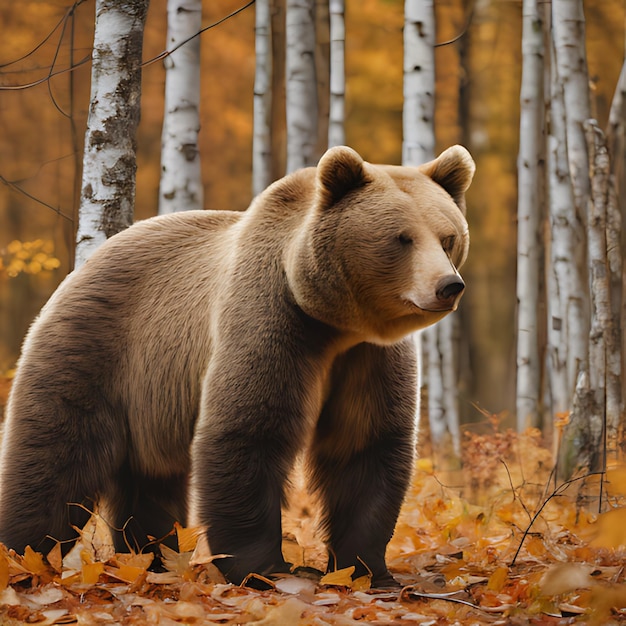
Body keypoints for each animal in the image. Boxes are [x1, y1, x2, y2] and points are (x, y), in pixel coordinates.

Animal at [0, 145, 470, 584]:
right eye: (402, 238)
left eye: (447, 237)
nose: (448, 285)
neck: (332, 325)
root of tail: (89, 261)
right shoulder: (270, 319)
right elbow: (248, 431)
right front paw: (264, 568)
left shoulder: (367, 357)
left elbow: (365, 445)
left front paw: (365, 569)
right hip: (98, 347)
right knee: (55, 458)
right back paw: (22, 558)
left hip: (150, 398)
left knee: (149, 481)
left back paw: (153, 558)